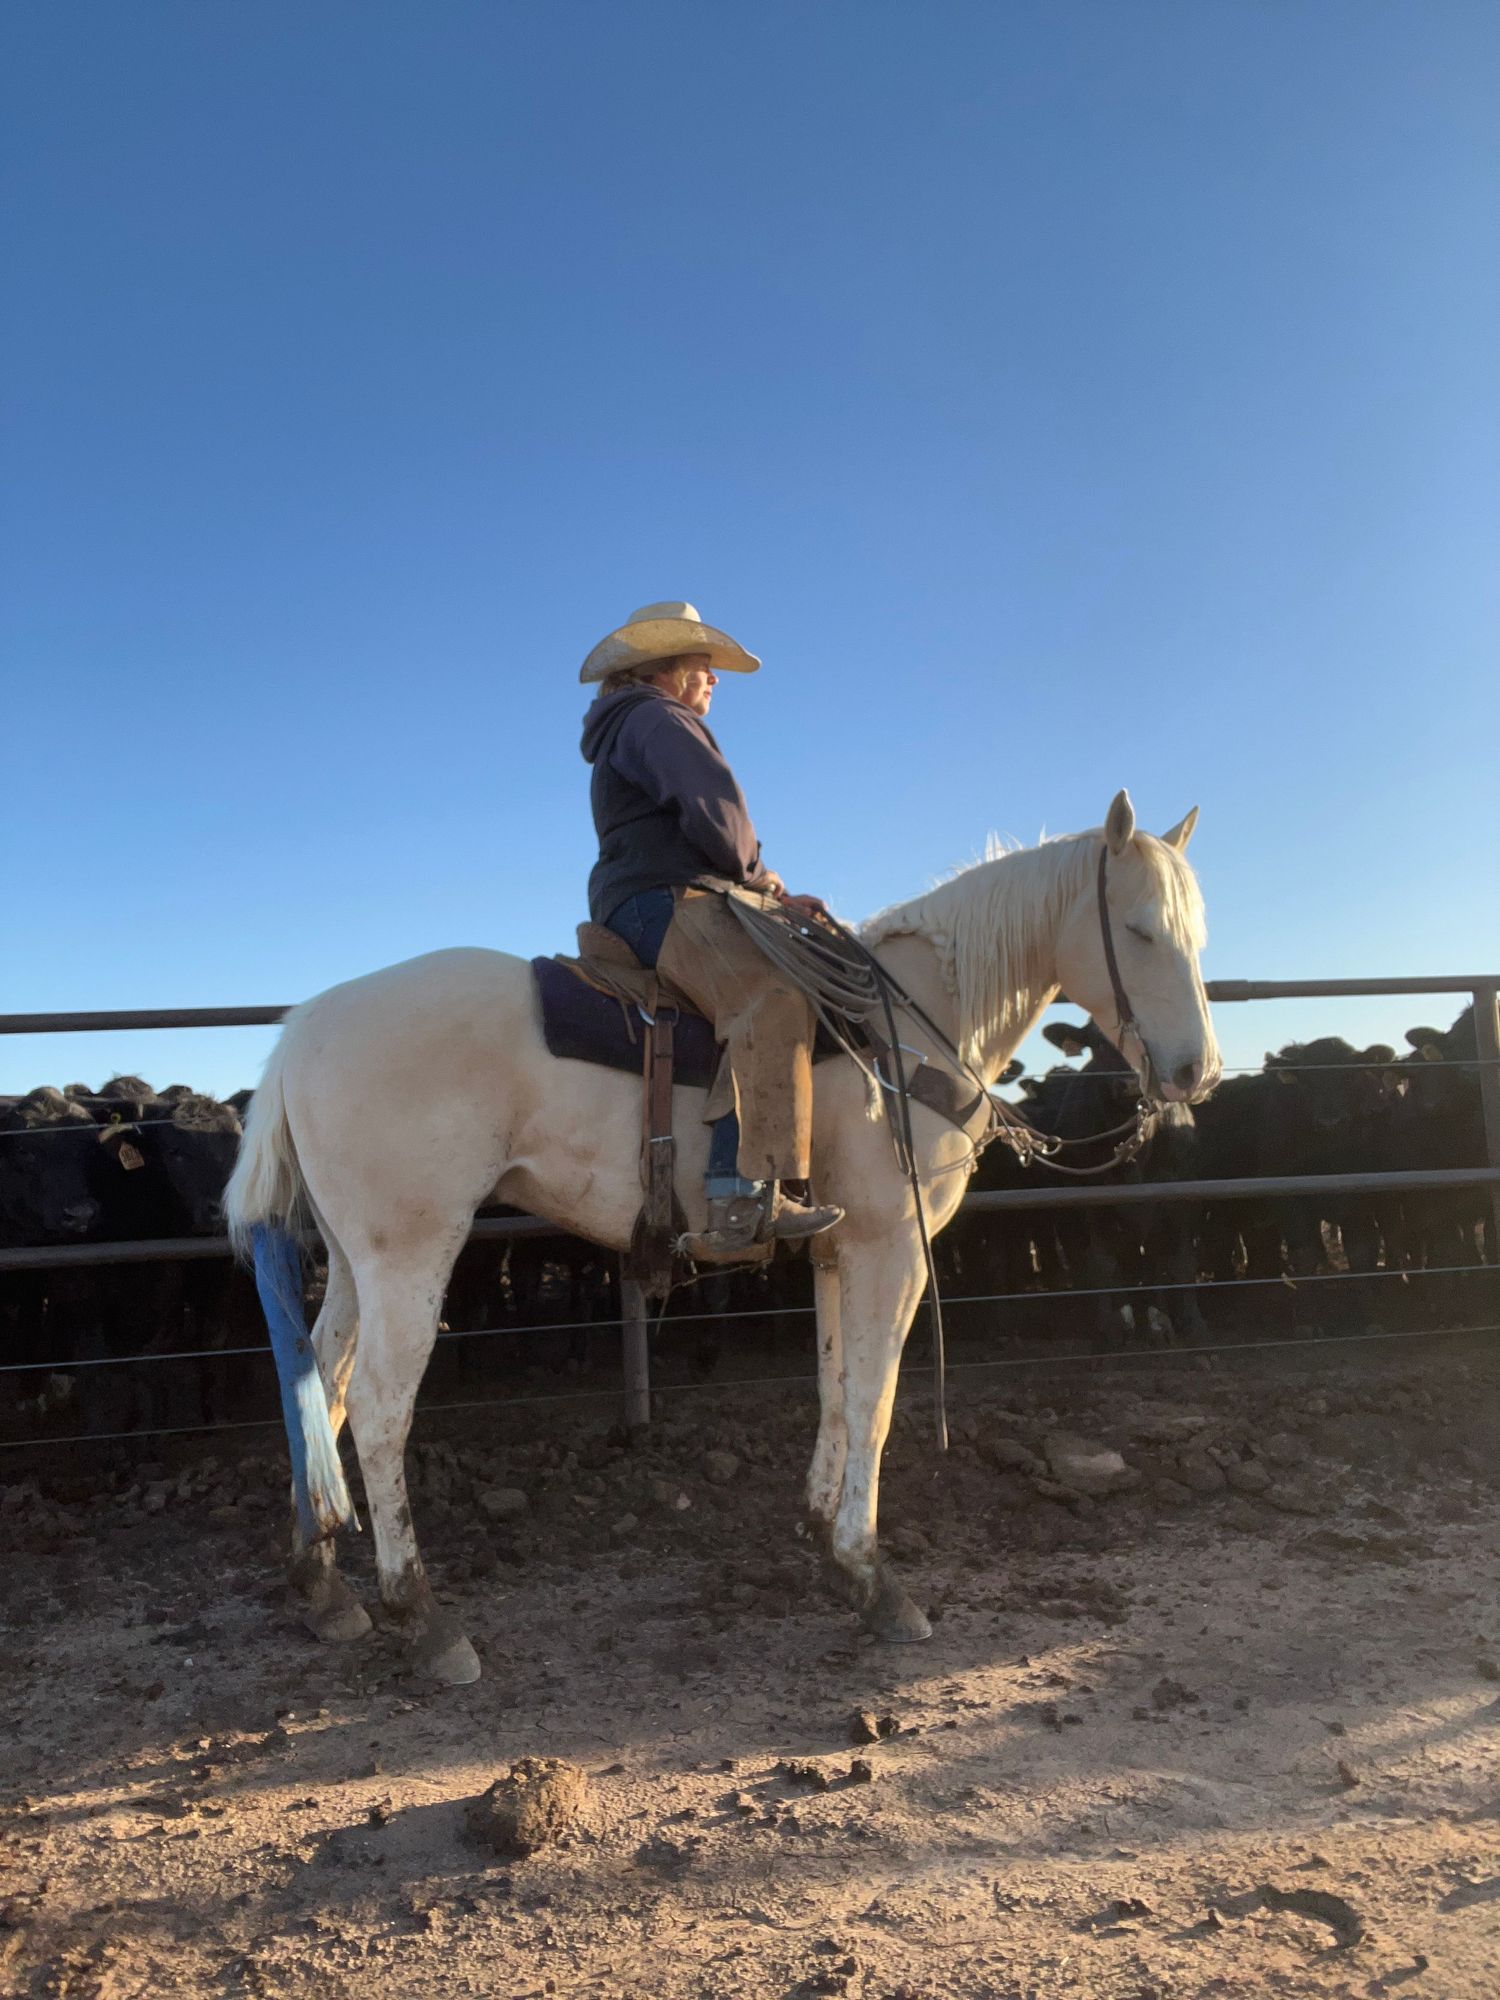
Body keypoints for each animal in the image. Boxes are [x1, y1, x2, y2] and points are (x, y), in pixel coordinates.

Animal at [225, 790, 1219, 1684]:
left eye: (1197, 936)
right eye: (1139, 931)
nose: (1194, 1073)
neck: (909, 1028)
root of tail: (306, 1029)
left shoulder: (837, 1248)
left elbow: (834, 1387)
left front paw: (823, 1534)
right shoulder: (890, 1246)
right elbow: (876, 1401)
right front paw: (873, 1580)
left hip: (353, 1261)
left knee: (321, 1380)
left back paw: (322, 1584)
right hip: (409, 1254)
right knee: (379, 1408)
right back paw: (425, 1620)